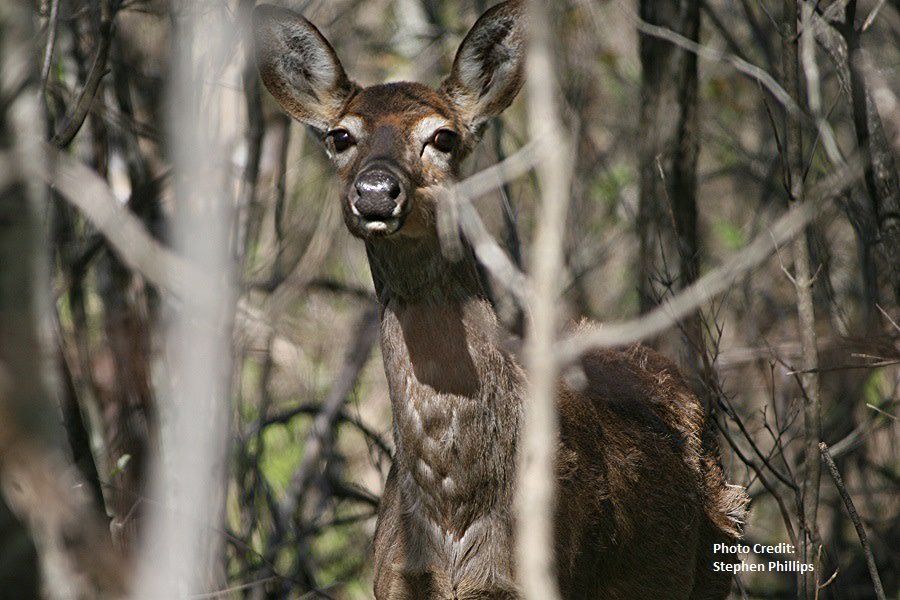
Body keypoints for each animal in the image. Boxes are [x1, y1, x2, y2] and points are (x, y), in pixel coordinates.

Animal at [253, 1, 748, 598]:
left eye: (443, 137)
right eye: (340, 136)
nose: (374, 192)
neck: (454, 509)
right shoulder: (392, 580)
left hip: (717, 556)